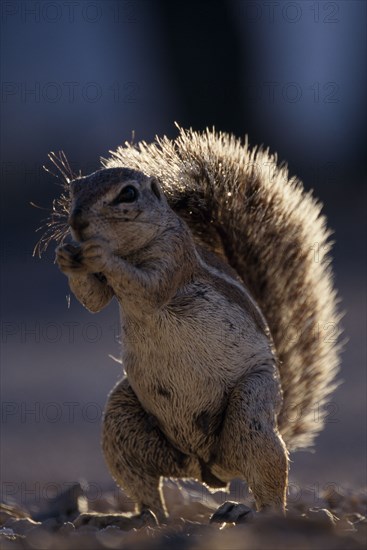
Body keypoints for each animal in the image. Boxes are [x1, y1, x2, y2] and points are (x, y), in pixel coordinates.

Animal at [38, 126, 342, 528]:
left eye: (128, 194)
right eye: (74, 188)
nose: (77, 222)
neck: (131, 248)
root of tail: (209, 469)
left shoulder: (174, 261)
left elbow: (147, 288)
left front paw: (98, 253)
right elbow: (95, 300)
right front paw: (65, 255)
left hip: (251, 408)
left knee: (267, 480)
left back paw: (251, 511)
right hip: (121, 422)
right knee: (150, 499)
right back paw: (124, 517)